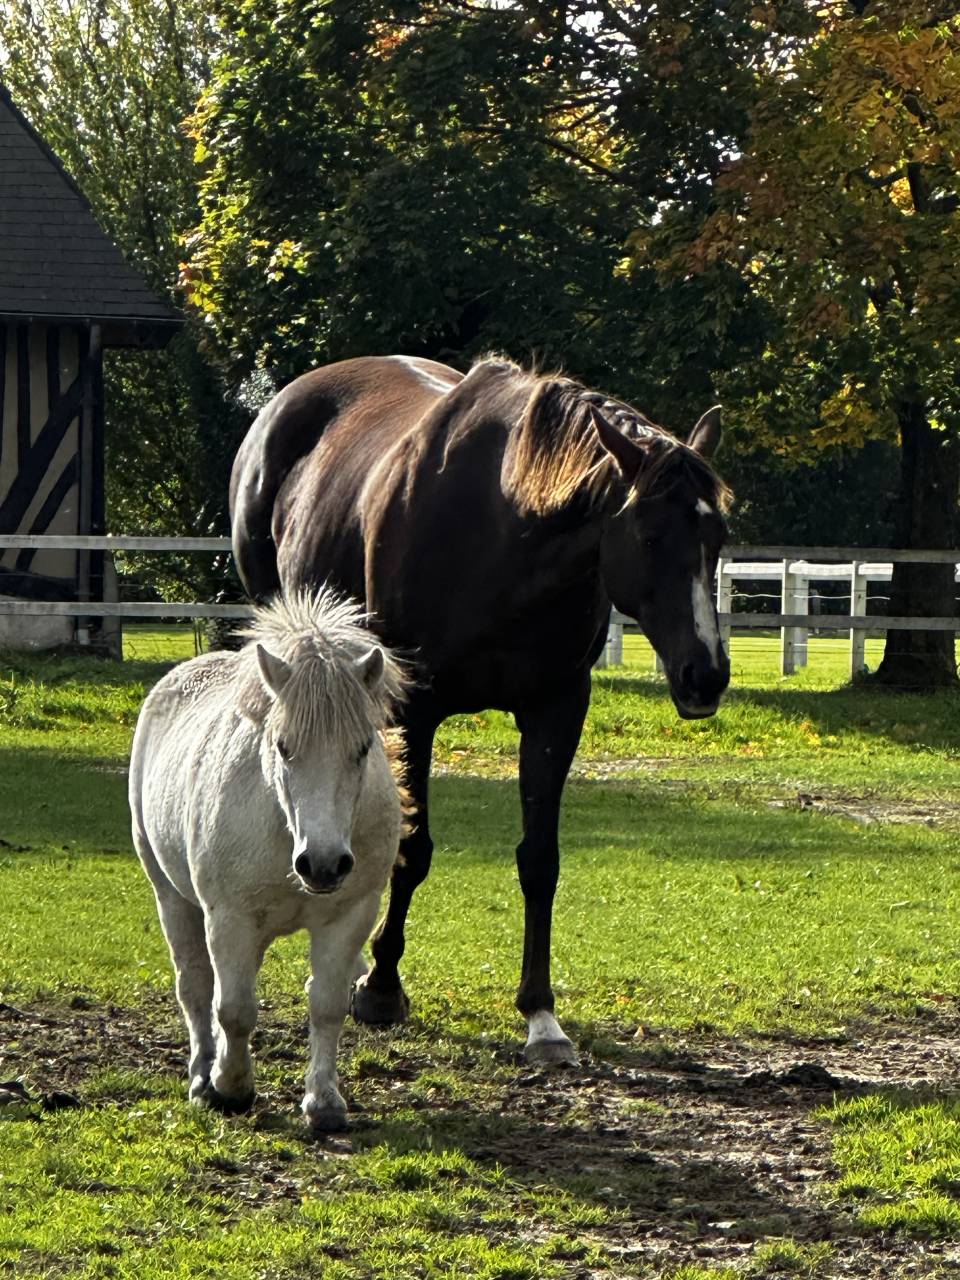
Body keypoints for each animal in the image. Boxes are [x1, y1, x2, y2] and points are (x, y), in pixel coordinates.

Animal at [128, 587, 405, 1130]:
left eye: (363, 748)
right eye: (283, 746)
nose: (323, 864)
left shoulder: (349, 916)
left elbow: (327, 1004)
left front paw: (324, 1102)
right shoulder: (230, 918)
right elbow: (233, 1008)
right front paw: (230, 1088)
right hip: (171, 897)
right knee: (196, 987)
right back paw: (201, 1073)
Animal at [230, 354, 732, 1065]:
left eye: (718, 534)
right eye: (650, 533)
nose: (706, 674)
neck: (506, 536)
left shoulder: (556, 710)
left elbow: (540, 860)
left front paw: (541, 1016)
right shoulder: (415, 707)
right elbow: (413, 849)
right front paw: (381, 988)